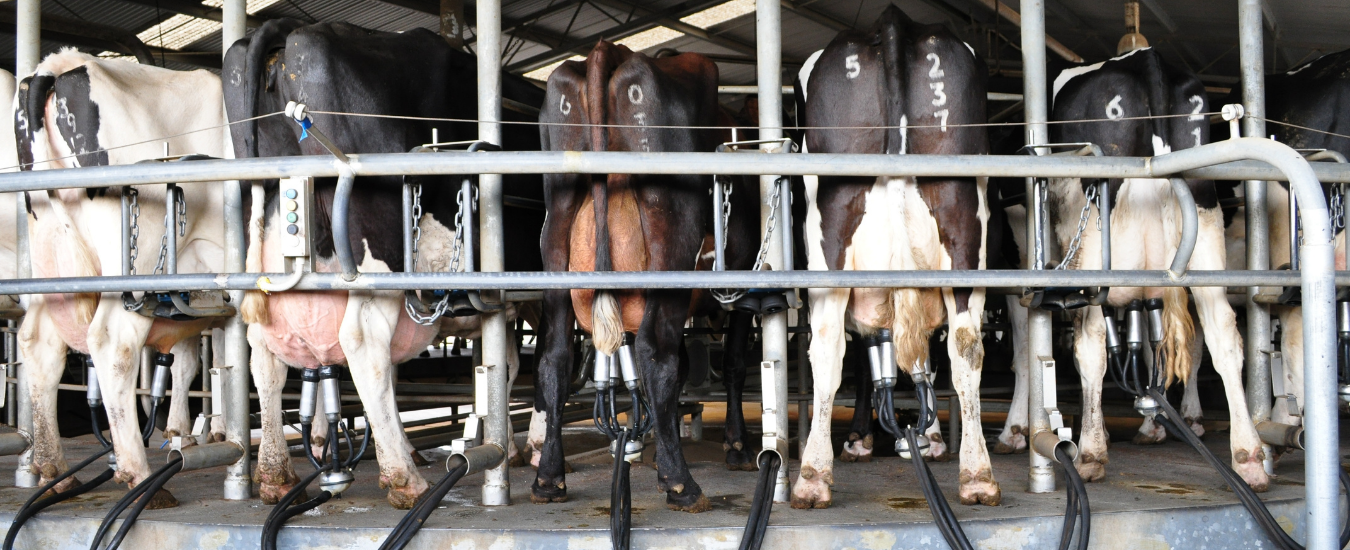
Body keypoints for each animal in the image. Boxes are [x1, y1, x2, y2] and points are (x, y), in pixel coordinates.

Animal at [14, 50, 229, 508]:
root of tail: (60, 65)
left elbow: (206, 358)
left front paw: (194, 430)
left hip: (50, 259)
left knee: (39, 343)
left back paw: (55, 473)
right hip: (135, 264)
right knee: (113, 344)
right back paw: (142, 478)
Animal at [228, 21, 548, 513]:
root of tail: (295, 30)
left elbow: (506, 365)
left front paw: (509, 445)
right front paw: (538, 447)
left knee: (264, 356)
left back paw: (275, 475)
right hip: (378, 261)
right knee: (364, 345)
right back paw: (404, 478)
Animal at [529, 42, 745, 513]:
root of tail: (609, 50)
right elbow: (732, 362)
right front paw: (735, 446)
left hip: (556, 233)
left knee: (555, 357)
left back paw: (549, 478)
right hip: (671, 237)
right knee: (654, 352)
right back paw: (681, 484)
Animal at [788, 6, 993, 510]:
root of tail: (894, 22)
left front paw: (864, 439)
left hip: (830, 229)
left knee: (828, 345)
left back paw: (813, 474)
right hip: (963, 221)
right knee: (965, 344)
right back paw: (977, 475)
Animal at [1042, 45, 1263, 489]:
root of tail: (1146, 58)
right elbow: (1149, 344)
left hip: (1096, 249)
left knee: (1090, 342)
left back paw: (1090, 453)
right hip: (1204, 221)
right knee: (1221, 332)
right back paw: (1249, 457)